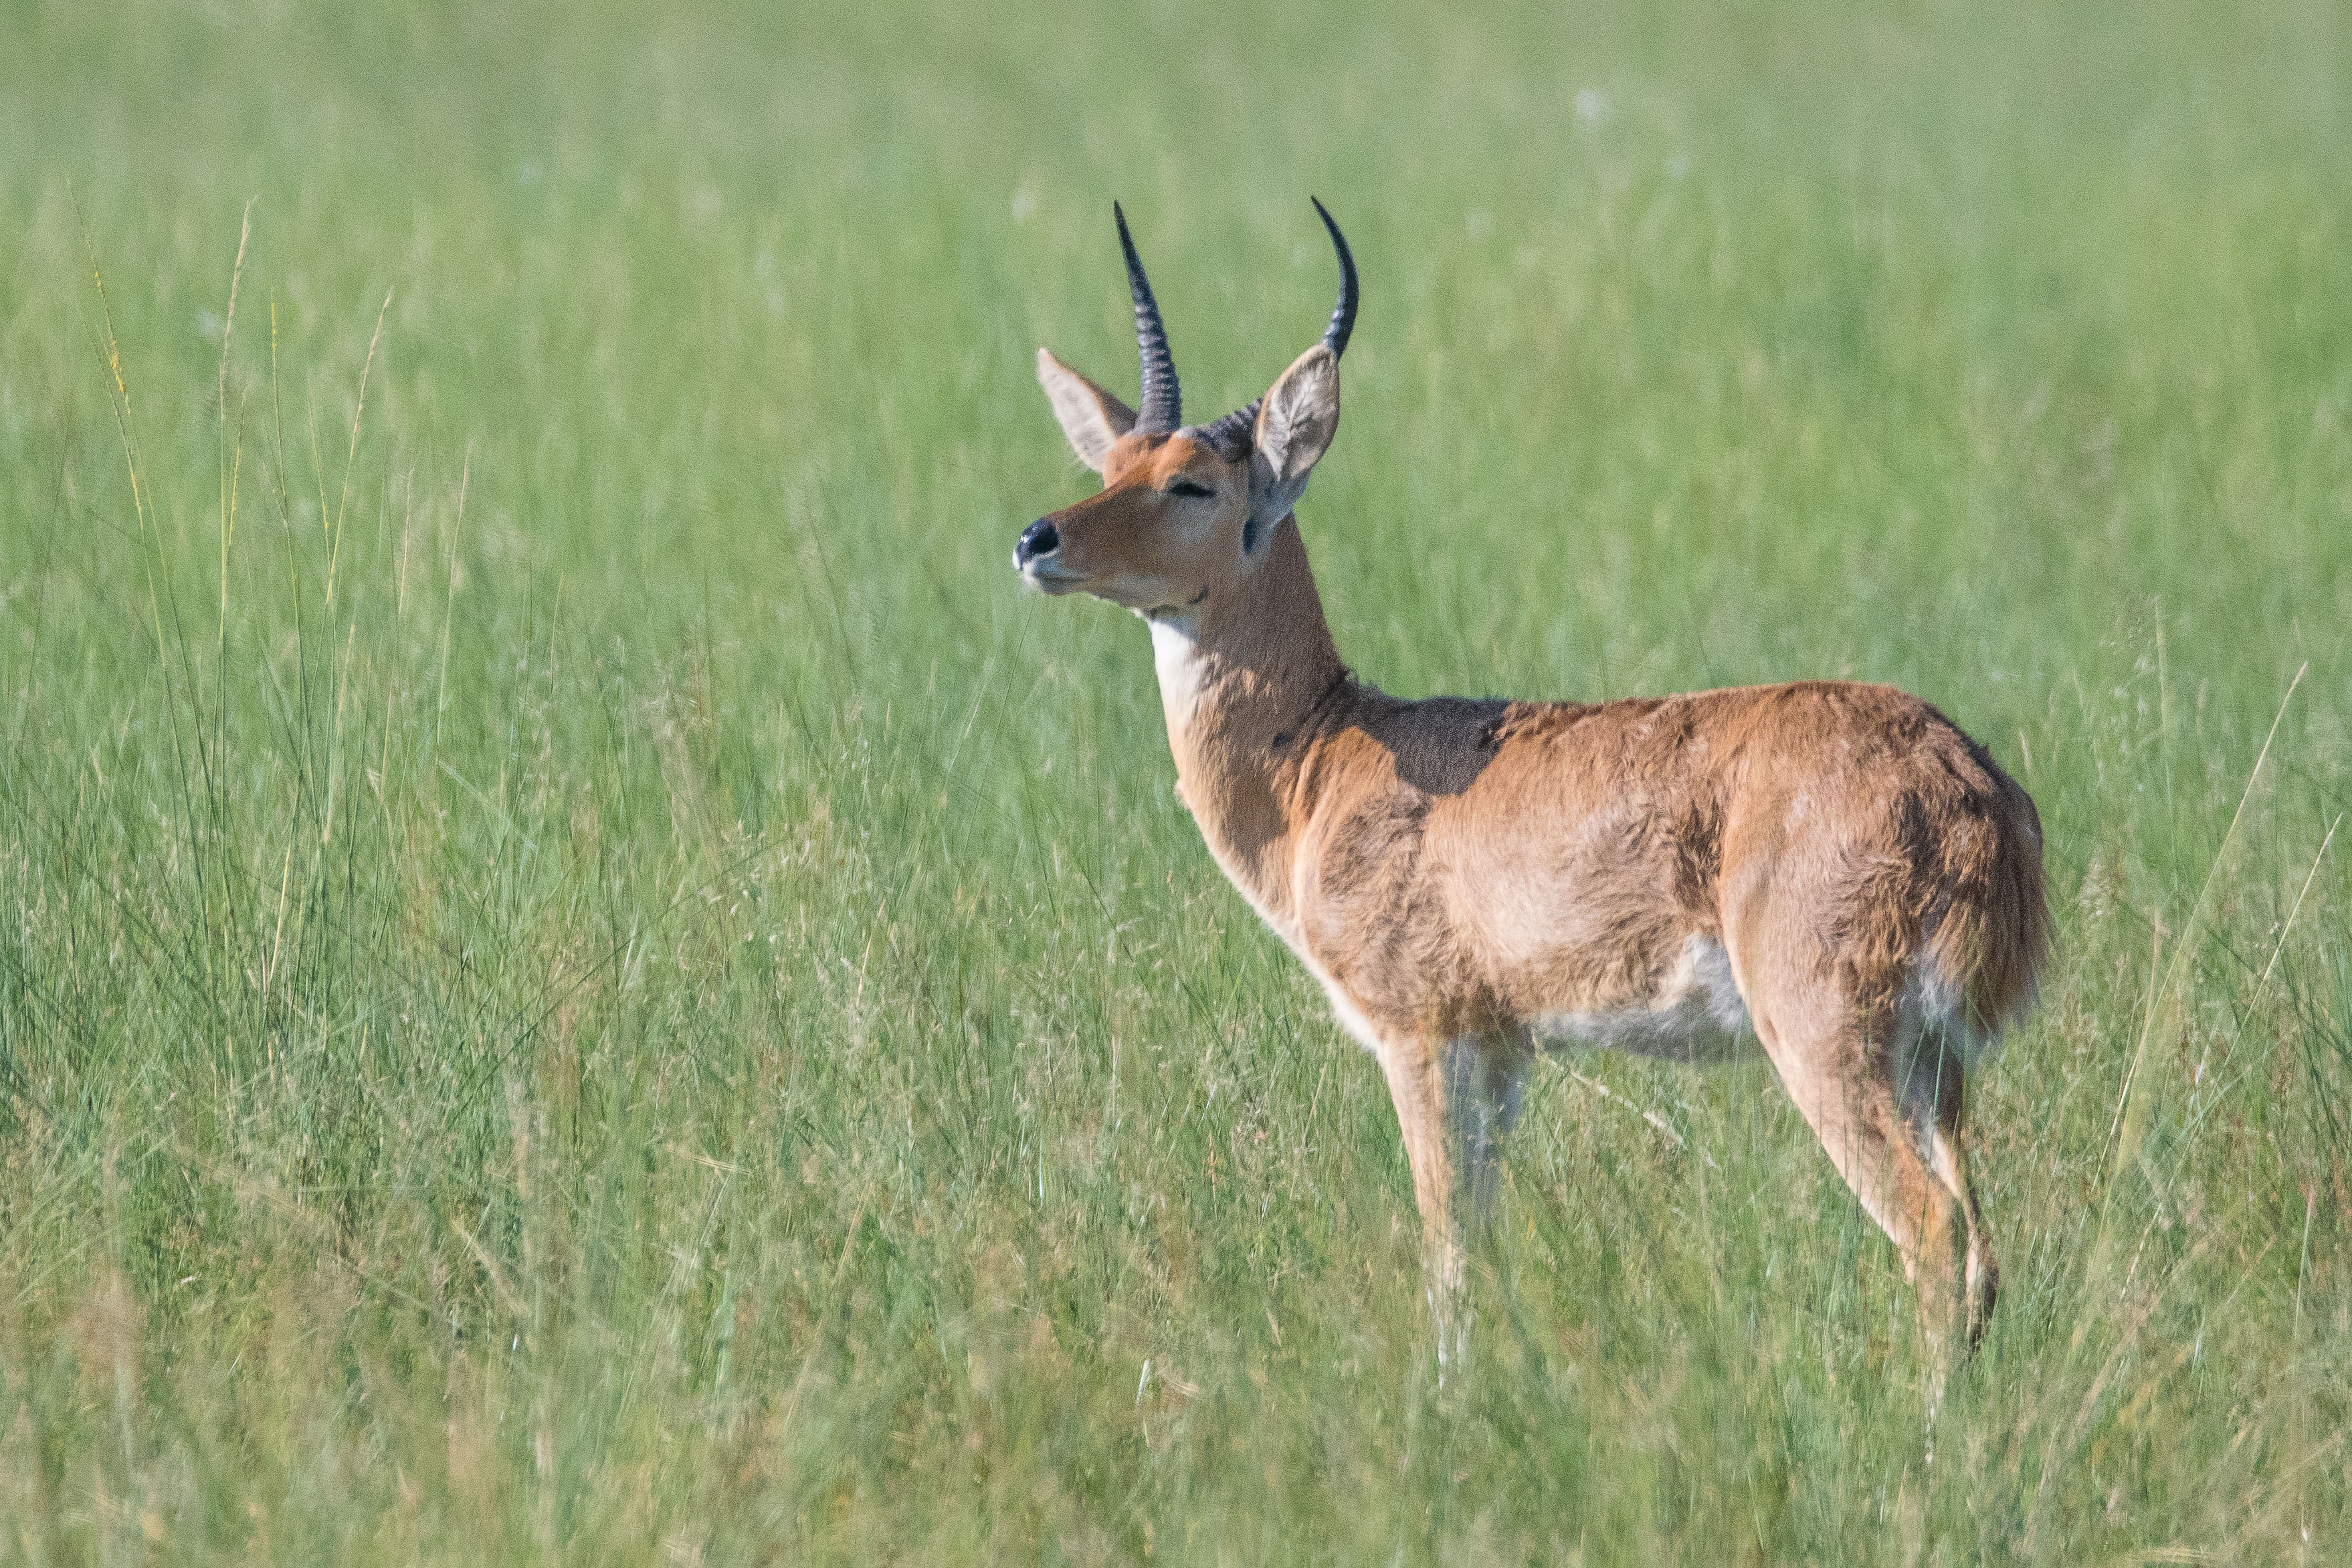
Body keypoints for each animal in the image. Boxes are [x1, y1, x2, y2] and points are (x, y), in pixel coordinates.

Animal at [1020, 199, 2050, 1354]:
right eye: (1110, 464)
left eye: (1192, 480)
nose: (1037, 538)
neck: (1324, 762)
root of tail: (1969, 782)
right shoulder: (1503, 1051)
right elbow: (1483, 1246)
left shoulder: (1422, 1039)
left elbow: (1446, 1256)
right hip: (1937, 1066)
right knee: (1985, 1251)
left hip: (1832, 1044)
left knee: (1932, 1238)